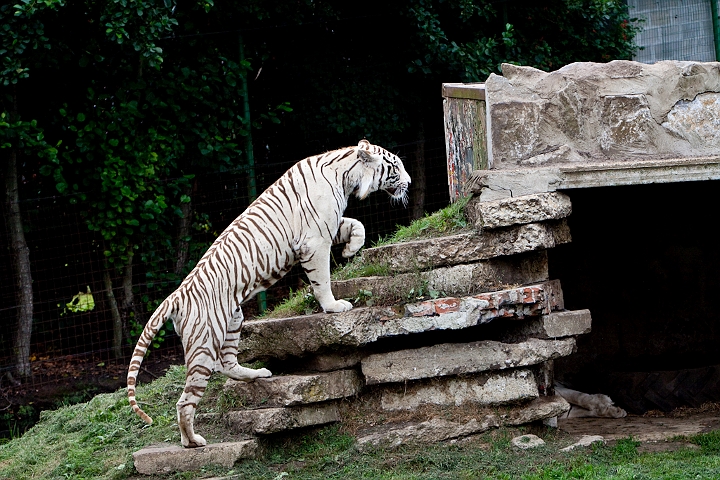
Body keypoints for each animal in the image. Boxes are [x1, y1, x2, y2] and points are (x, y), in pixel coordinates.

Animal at [127, 139, 411, 448]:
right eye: (396, 167)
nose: (409, 182)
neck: (346, 175)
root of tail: (176, 295)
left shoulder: (329, 227)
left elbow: (358, 225)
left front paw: (350, 249)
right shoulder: (315, 240)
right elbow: (322, 279)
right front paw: (334, 305)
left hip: (233, 319)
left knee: (227, 364)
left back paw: (256, 374)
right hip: (205, 342)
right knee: (186, 399)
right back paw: (192, 441)